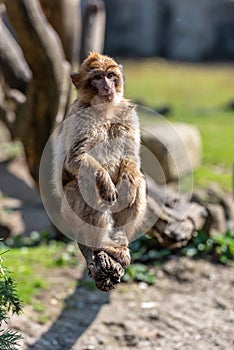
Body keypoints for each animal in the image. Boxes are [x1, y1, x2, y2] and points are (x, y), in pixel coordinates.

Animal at [52, 52, 146, 280]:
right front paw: (105, 181)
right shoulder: (79, 115)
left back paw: (120, 242)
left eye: (111, 76)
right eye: (97, 78)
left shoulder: (129, 115)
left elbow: (132, 159)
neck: (106, 109)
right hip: (70, 213)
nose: (107, 87)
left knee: (138, 185)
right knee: (86, 184)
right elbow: (74, 159)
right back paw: (102, 243)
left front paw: (129, 180)